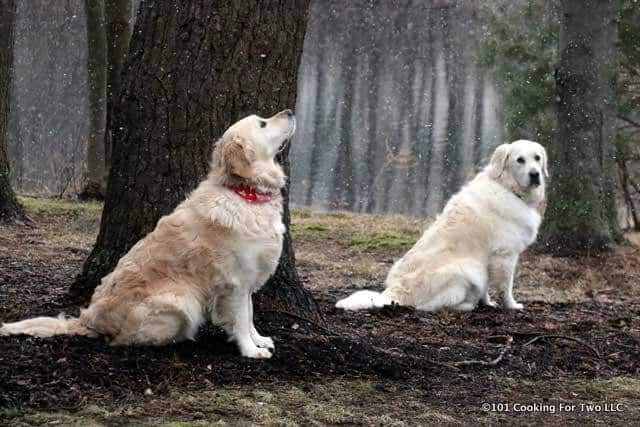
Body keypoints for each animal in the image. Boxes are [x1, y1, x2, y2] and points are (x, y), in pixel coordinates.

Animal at [0, 109, 296, 358]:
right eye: (262, 123)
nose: (290, 111)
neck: (245, 193)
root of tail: (87, 319)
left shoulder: (248, 278)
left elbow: (251, 313)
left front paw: (259, 339)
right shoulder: (235, 281)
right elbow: (242, 318)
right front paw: (250, 350)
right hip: (181, 300)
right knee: (125, 339)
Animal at [338, 142, 548, 312]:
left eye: (537, 158)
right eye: (520, 160)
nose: (535, 174)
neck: (508, 188)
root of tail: (393, 295)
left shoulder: (489, 259)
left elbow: (487, 287)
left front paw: (487, 303)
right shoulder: (505, 255)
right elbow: (506, 287)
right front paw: (512, 306)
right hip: (465, 271)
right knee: (430, 307)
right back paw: (466, 305)